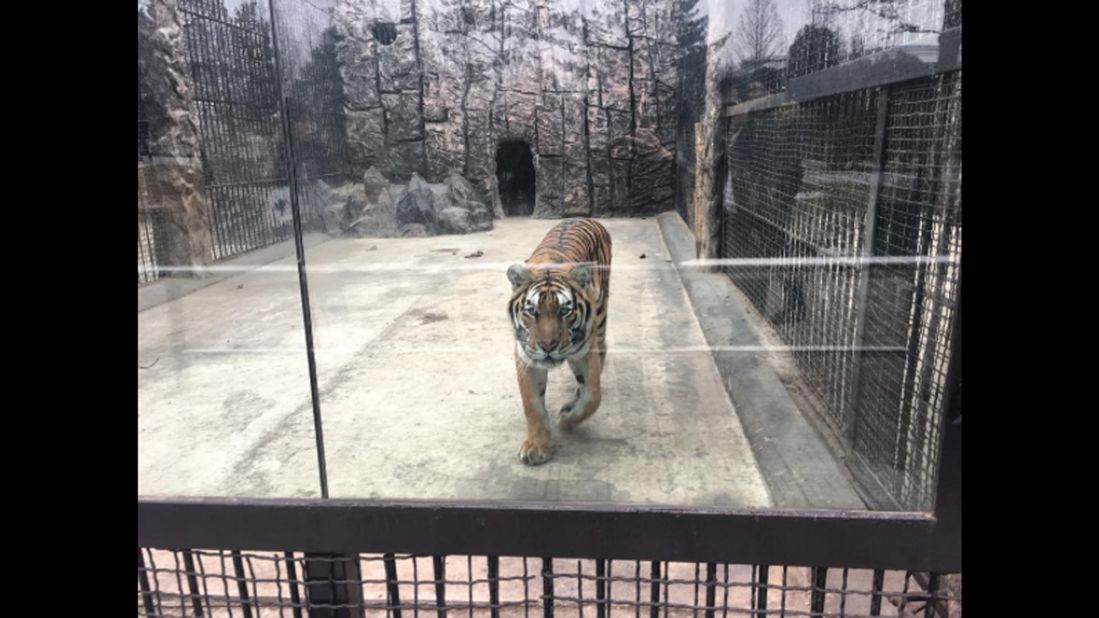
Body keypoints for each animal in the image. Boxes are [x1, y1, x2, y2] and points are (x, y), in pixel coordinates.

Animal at [507, 216, 615, 461]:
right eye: (532, 311)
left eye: (565, 311)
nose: (548, 346)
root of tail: (585, 217)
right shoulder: (526, 356)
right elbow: (532, 403)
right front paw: (537, 446)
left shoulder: (585, 351)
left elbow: (592, 396)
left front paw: (566, 420)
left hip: (600, 319)